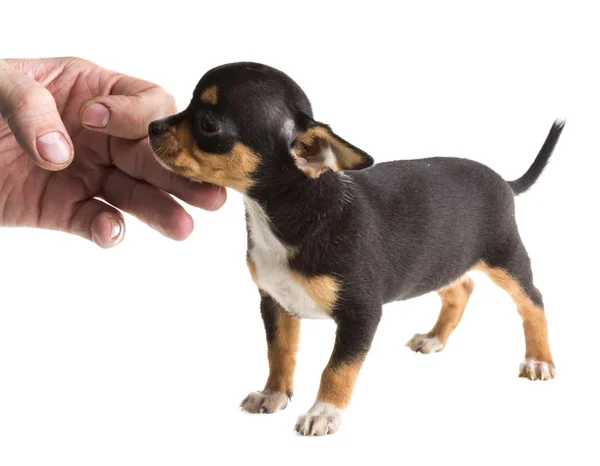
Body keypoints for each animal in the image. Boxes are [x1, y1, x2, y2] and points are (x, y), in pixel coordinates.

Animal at [148, 62, 564, 436]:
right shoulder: (275, 303)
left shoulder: (361, 313)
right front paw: (274, 394)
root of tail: (505, 181)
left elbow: (337, 368)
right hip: (442, 262)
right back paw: (434, 338)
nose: (152, 126)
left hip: (505, 259)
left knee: (533, 301)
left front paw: (323, 412)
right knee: (461, 289)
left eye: (207, 124)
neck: (288, 212)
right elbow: (279, 352)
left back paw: (538, 360)